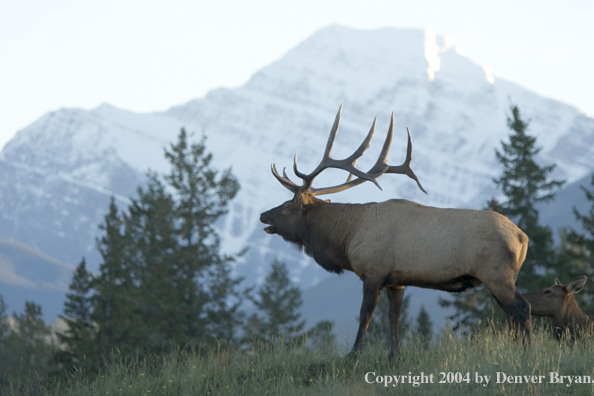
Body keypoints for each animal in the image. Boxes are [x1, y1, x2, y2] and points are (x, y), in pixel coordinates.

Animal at [258, 106, 528, 360]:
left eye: (286, 206)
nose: (263, 215)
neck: (348, 236)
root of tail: (522, 237)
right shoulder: (396, 280)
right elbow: (393, 316)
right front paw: (393, 356)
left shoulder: (373, 271)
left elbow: (365, 314)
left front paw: (353, 355)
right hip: (498, 278)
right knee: (511, 314)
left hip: (497, 274)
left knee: (523, 308)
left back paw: (525, 350)